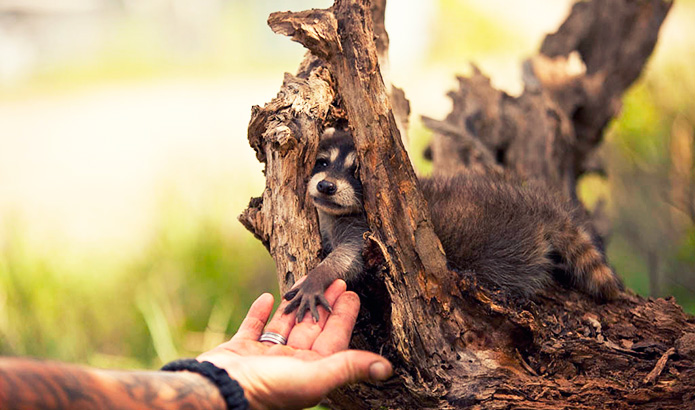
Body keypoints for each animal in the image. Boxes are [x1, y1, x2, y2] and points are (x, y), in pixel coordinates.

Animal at [284, 130, 624, 322]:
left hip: (504, 248)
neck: (338, 213)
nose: (326, 186)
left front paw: (319, 276)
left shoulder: (368, 231)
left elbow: (349, 258)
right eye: (323, 162)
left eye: (357, 172)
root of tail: (537, 206)